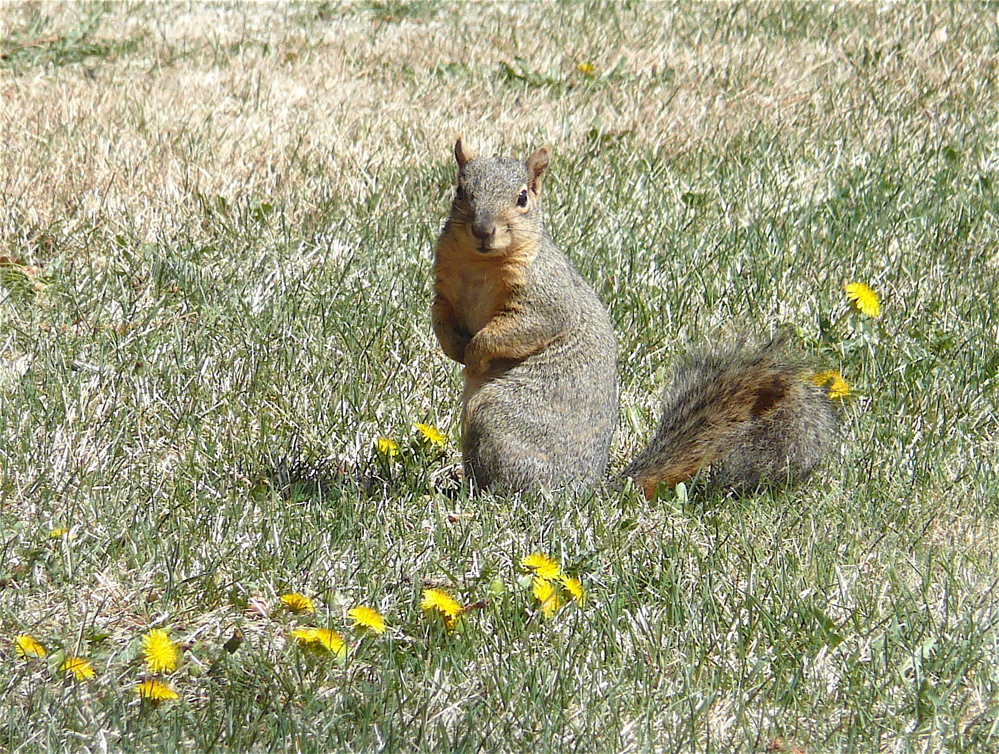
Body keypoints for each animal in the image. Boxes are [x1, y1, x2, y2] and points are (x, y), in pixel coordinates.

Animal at [434, 138, 840, 496]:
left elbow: (522, 329)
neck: (481, 264)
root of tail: (584, 491)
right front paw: (455, 348)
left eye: (522, 198)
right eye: (460, 191)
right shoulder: (445, 287)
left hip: (497, 417)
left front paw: (475, 354)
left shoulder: (545, 297)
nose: (483, 231)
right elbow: (440, 319)